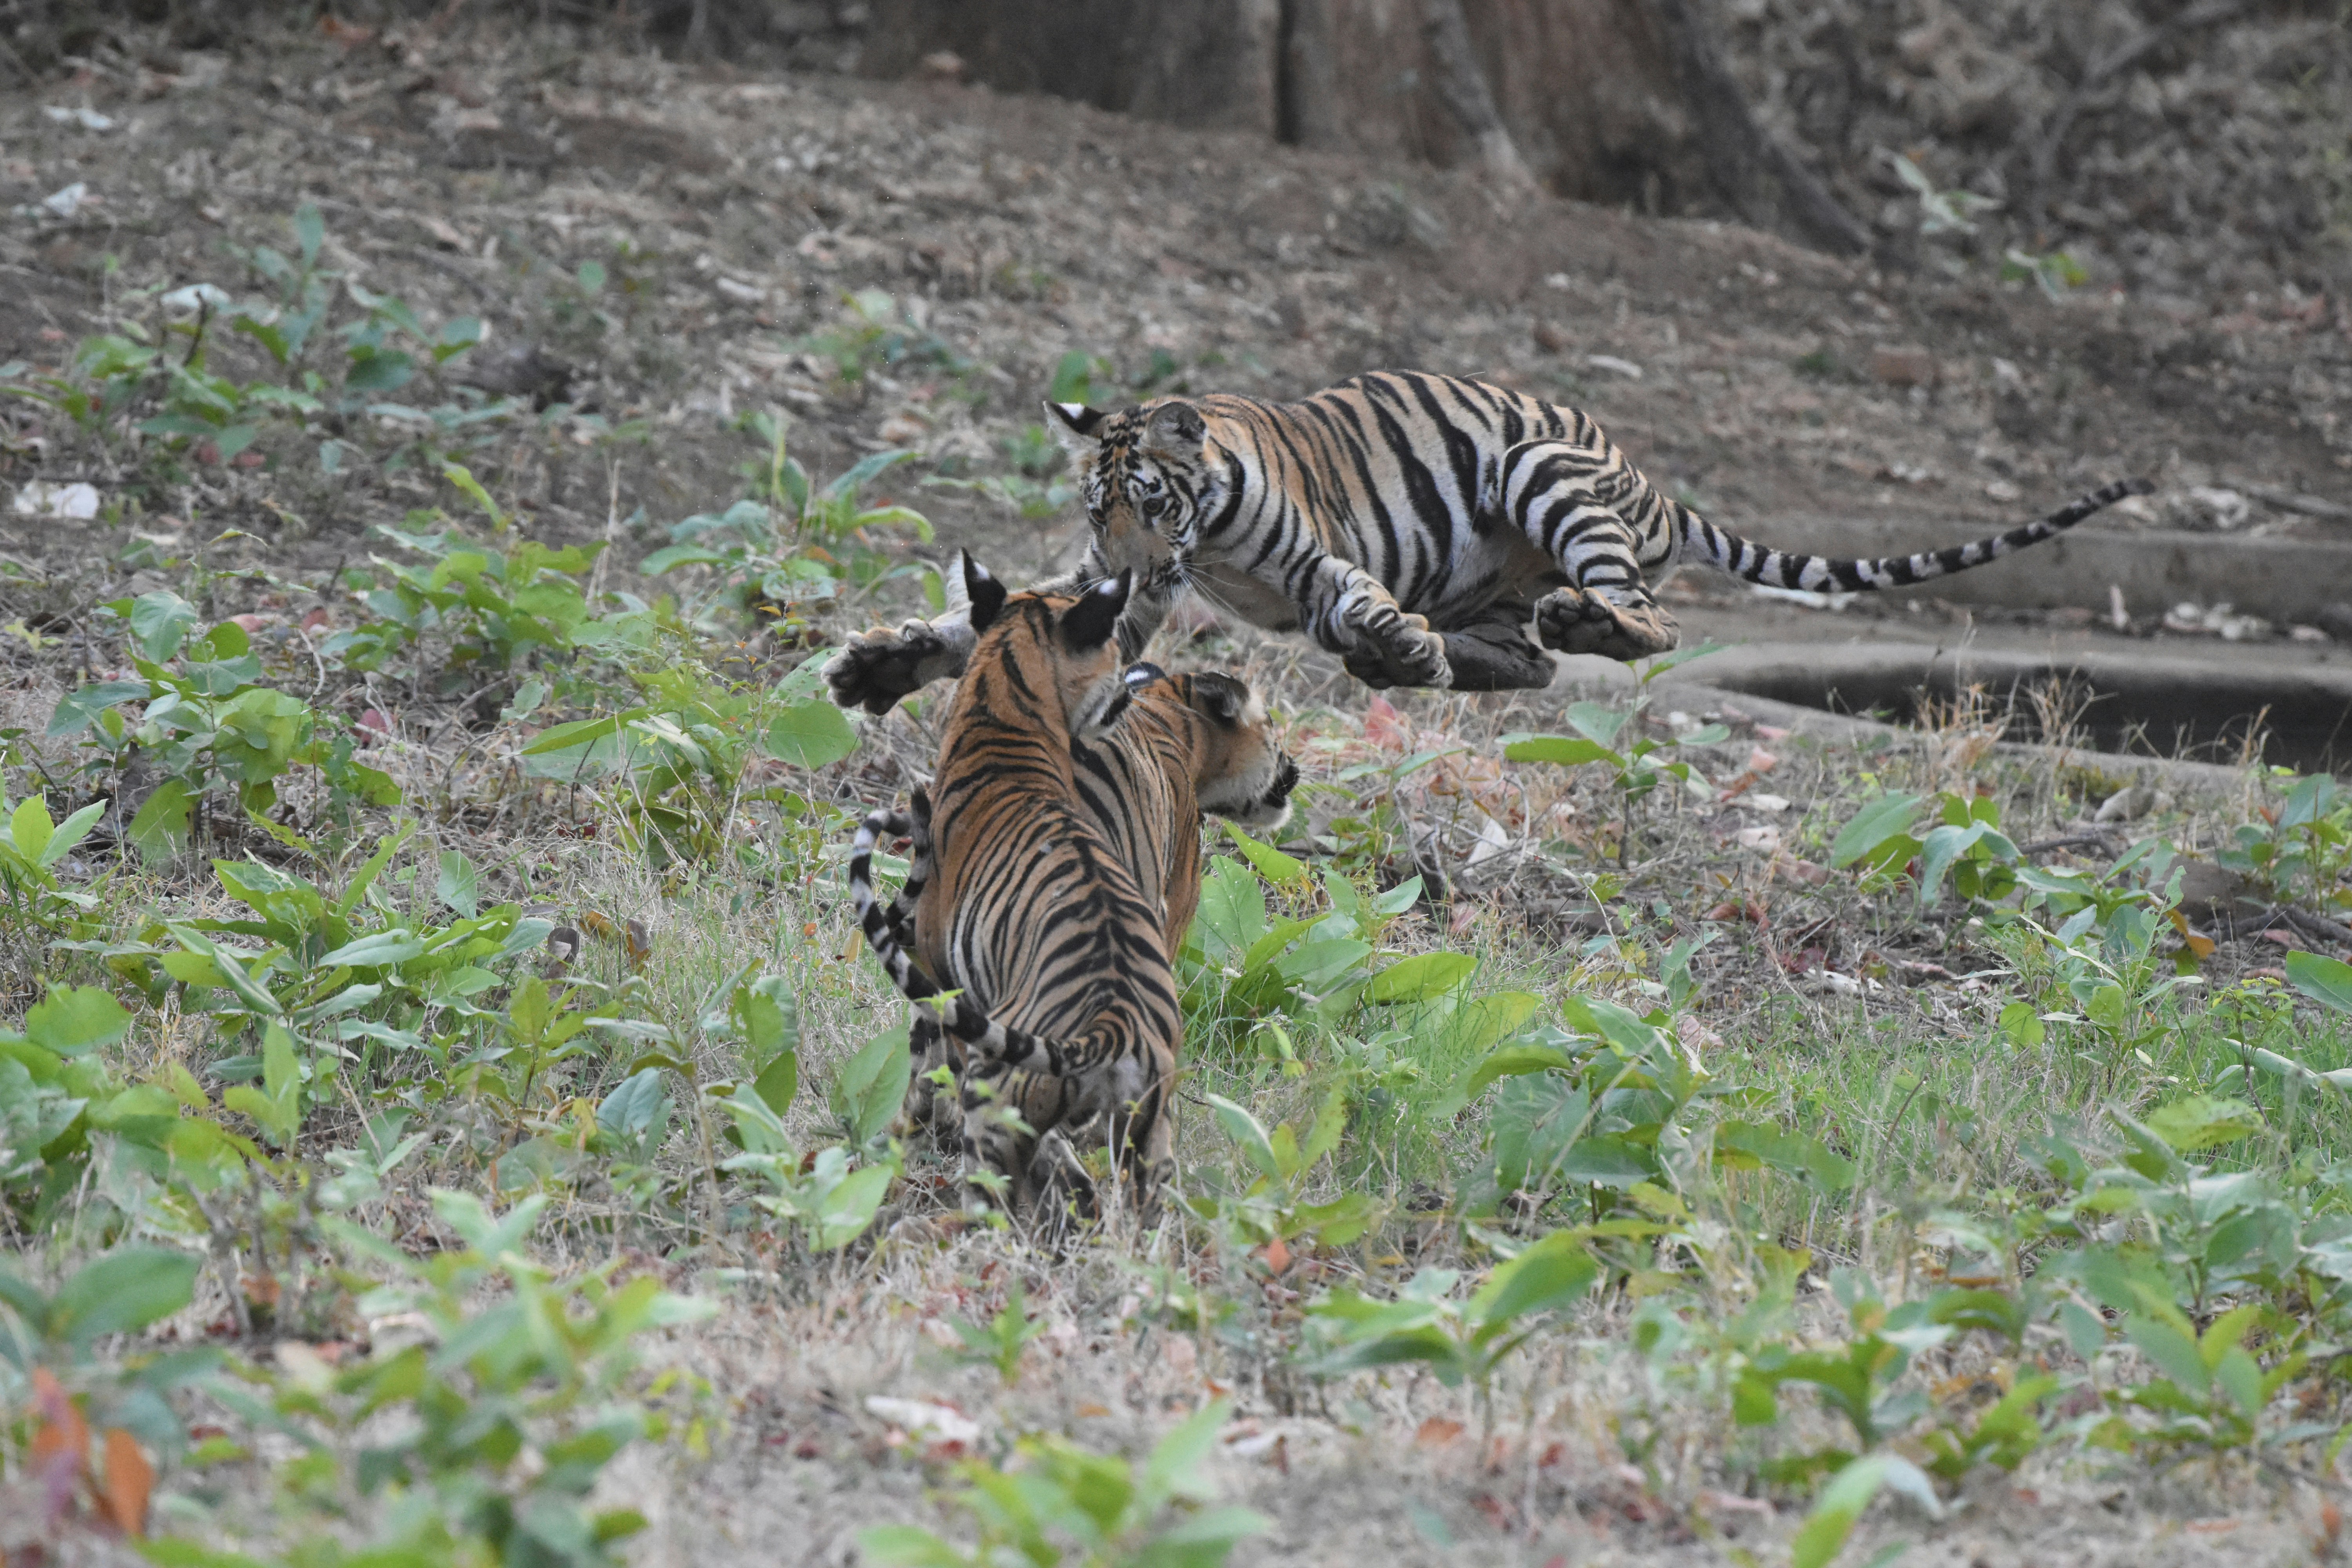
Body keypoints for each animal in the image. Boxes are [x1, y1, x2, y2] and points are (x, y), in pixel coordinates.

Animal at [823, 369, 2149, 712]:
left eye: (1145, 496)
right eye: (1092, 505)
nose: (1123, 556)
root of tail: (1657, 483)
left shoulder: (1304, 559)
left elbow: (1352, 593)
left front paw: (1384, 638)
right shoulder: (1125, 596)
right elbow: (993, 621)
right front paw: (876, 666)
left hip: (1543, 473)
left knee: (1642, 618)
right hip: (1493, 583)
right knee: (1528, 665)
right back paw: (1438, 656)